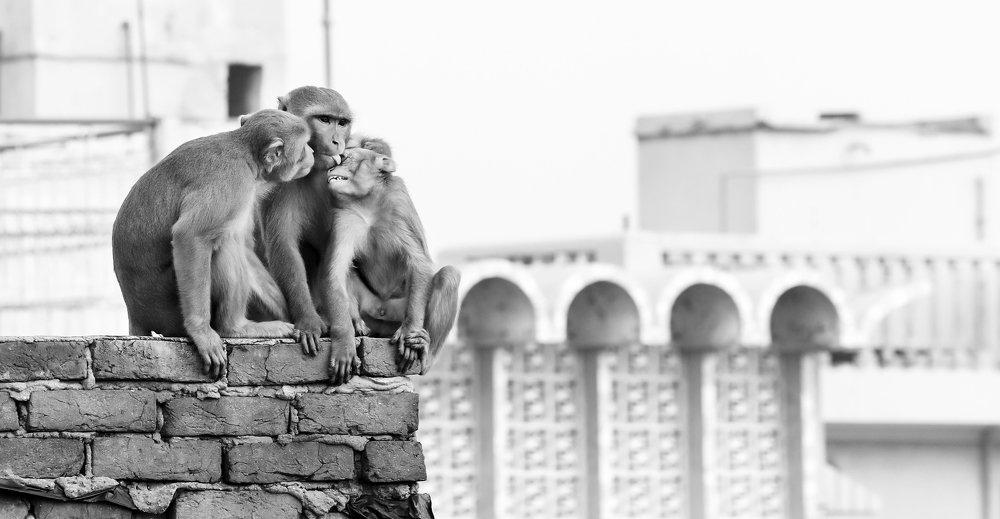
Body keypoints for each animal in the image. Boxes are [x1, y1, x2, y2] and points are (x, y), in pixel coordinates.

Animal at [112, 109, 314, 378]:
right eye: (304, 146)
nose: (312, 153)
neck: (247, 157)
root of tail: (135, 312)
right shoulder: (233, 182)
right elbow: (190, 235)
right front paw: (201, 332)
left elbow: (244, 245)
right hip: (166, 306)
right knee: (222, 246)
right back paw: (234, 328)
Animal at [260, 86, 354, 356]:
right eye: (324, 119)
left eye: (342, 123)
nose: (337, 141)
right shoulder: (280, 179)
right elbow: (284, 245)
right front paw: (308, 320)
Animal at [320, 140, 461, 385]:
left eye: (345, 158)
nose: (331, 168)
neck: (367, 203)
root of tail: (383, 311)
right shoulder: (344, 218)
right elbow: (334, 273)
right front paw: (344, 342)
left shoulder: (399, 203)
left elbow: (420, 263)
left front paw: (409, 333)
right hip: (371, 310)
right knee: (349, 272)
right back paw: (356, 322)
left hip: (398, 314)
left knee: (449, 275)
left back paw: (425, 351)